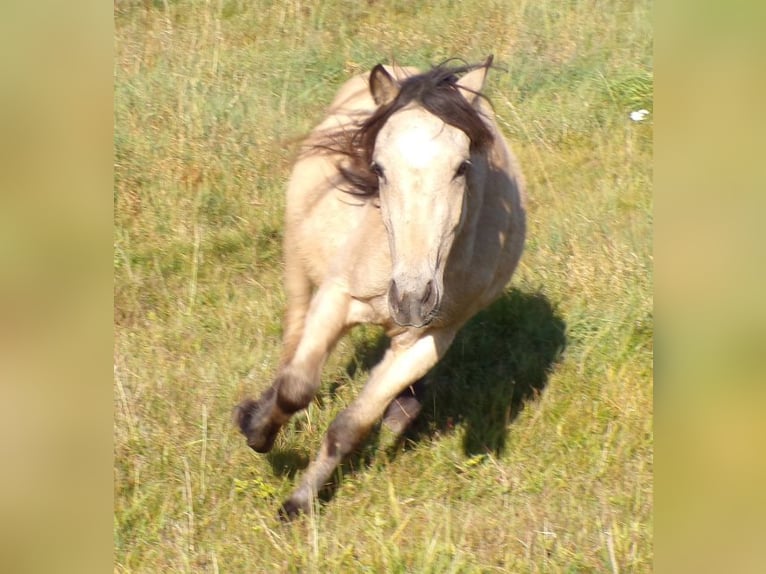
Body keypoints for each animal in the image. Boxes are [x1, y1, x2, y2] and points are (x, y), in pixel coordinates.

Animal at [236, 56, 526, 520]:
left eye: (462, 167)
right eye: (378, 168)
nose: (412, 299)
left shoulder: (426, 340)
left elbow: (349, 427)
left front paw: (299, 502)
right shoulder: (336, 298)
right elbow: (296, 388)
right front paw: (257, 432)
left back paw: (404, 409)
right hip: (298, 265)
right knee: (292, 342)